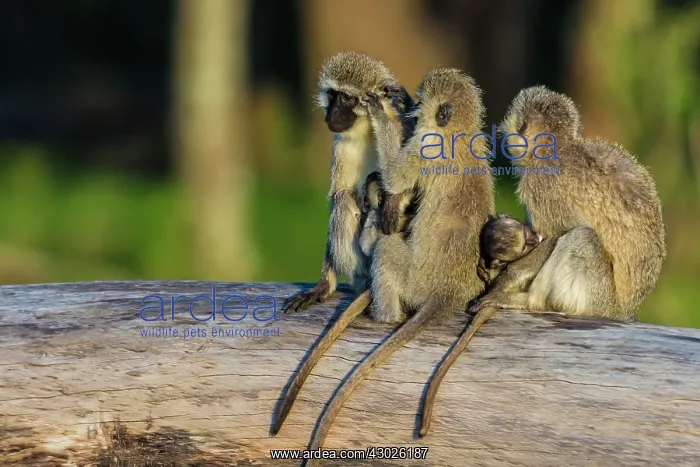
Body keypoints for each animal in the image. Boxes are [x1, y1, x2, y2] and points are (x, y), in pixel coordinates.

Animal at [283, 52, 417, 315]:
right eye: (332, 94)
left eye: (346, 97)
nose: (332, 112)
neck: (366, 130)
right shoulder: (341, 146)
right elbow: (338, 197)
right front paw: (323, 285)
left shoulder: (400, 128)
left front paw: (393, 203)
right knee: (343, 198)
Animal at [300, 68, 495, 462]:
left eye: (421, 102)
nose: (412, 108)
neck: (460, 131)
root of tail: (449, 292)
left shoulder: (423, 146)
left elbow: (394, 176)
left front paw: (377, 107)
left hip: (414, 276)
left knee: (387, 250)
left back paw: (385, 316)